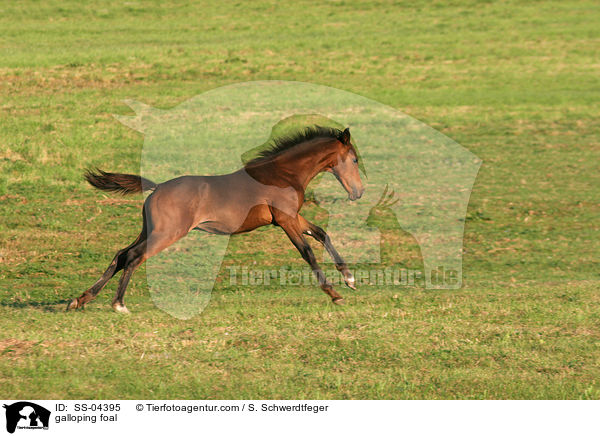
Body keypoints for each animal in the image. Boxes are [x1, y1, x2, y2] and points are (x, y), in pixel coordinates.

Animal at [68, 126, 364, 314]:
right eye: (355, 160)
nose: (358, 192)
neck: (283, 174)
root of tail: (158, 187)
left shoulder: (291, 217)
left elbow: (321, 233)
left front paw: (349, 279)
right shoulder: (286, 220)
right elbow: (307, 252)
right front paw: (334, 294)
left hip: (149, 230)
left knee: (121, 254)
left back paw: (80, 300)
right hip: (167, 233)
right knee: (134, 257)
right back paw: (118, 304)